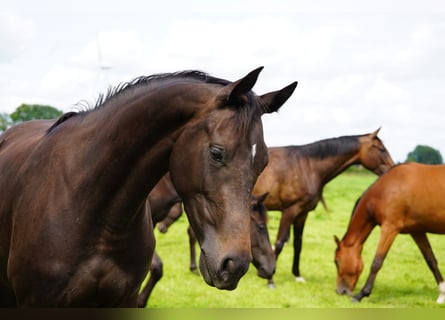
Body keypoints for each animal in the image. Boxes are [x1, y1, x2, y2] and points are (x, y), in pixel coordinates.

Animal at [251, 129, 394, 286]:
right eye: (381, 148)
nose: (392, 168)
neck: (307, 167)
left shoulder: (302, 213)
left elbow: (298, 243)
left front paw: (297, 275)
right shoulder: (289, 211)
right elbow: (279, 243)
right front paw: (270, 279)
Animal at [332, 162, 444, 304]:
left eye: (337, 261)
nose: (340, 291)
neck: (386, 189)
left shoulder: (389, 228)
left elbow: (376, 262)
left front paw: (361, 294)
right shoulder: (417, 231)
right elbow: (431, 261)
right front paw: (442, 294)